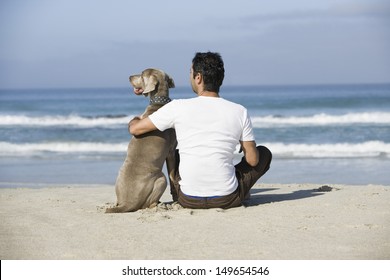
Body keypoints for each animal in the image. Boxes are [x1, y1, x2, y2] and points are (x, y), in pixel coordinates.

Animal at [106, 69, 180, 213]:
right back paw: (162, 205)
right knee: (150, 204)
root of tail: (127, 203)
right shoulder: (171, 150)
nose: (129, 77)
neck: (159, 103)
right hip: (161, 179)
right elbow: (172, 176)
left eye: (141, 74)